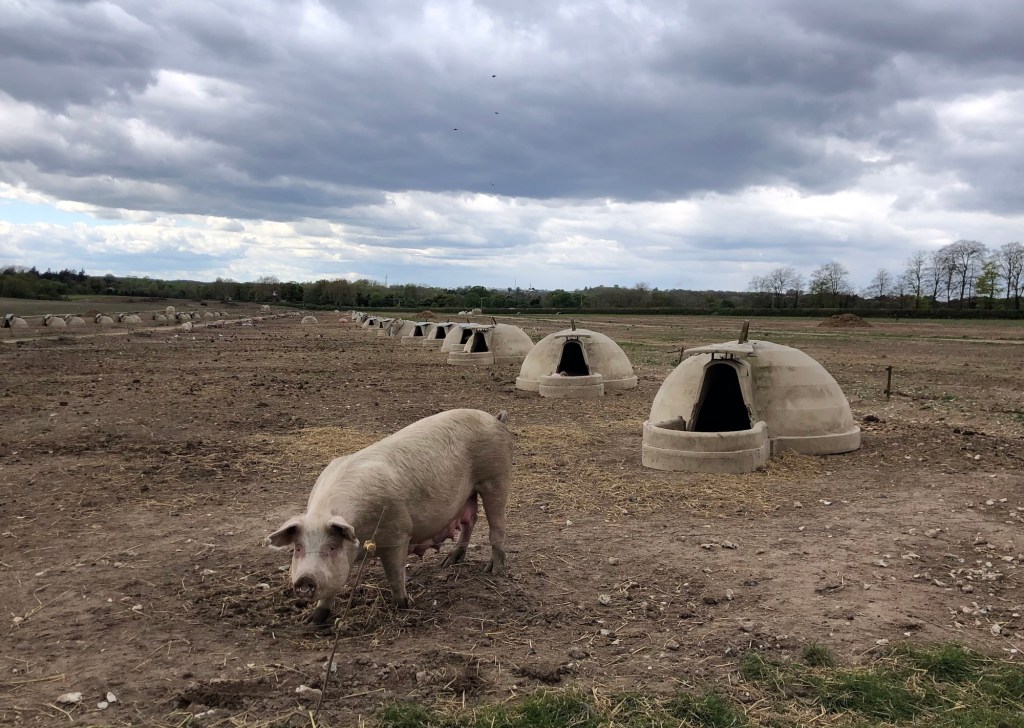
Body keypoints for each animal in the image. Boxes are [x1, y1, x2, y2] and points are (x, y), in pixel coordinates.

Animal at [267, 408, 512, 623]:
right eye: (298, 548)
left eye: (332, 547)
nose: (305, 579)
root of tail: (495, 419)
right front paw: (311, 620)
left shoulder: (398, 535)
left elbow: (395, 574)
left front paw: (402, 605)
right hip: (469, 493)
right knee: (470, 521)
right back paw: (448, 562)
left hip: (496, 479)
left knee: (497, 526)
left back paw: (494, 569)